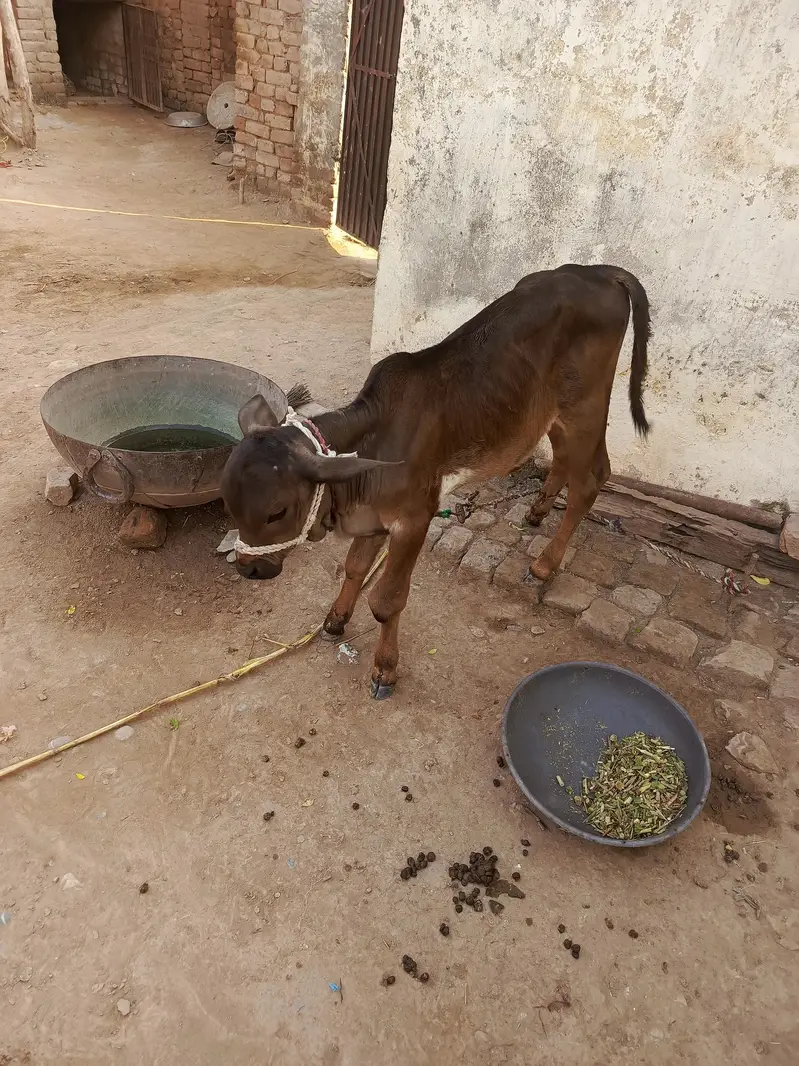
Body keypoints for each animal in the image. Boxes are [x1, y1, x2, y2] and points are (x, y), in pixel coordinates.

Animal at [221, 264, 651, 699]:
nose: (248, 570)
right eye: (228, 503)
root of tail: (599, 270)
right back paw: (537, 511)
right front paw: (336, 619)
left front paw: (385, 669)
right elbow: (354, 568)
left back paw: (545, 564)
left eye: (276, 512)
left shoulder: (414, 518)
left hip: (585, 407)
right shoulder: (373, 516)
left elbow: (387, 600)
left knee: (592, 479)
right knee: (564, 461)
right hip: (550, 414)